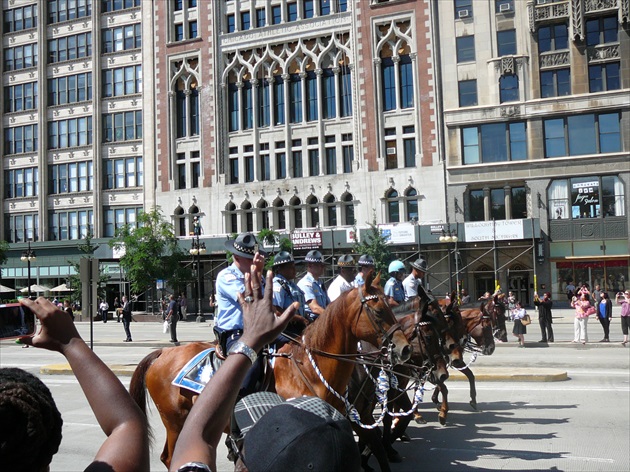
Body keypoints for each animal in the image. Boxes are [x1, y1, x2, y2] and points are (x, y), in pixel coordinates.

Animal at [130, 272, 412, 468]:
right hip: (175, 422)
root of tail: (162, 353)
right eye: (378, 310)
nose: (404, 348)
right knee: (169, 458)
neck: (310, 370)